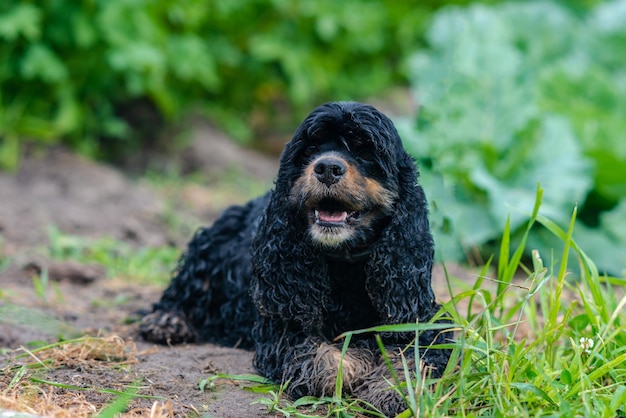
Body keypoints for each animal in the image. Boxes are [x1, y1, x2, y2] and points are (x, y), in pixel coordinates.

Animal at [140, 101, 448, 414]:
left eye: (365, 150)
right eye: (310, 148)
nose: (327, 167)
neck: (345, 264)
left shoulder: (425, 319)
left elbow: (416, 355)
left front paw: (392, 390)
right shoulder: (282, 327)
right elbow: (321, 357)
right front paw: (356, 365)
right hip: (210, 245)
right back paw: (167, 320)